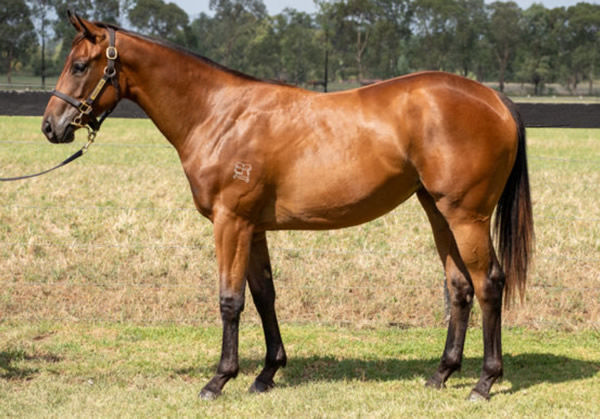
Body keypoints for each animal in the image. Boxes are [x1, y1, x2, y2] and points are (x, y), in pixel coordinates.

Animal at [42, 12, 532, 400]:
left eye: (79, 65)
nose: (51, 126)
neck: (220, 116)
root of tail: (494, 98)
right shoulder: (254, 227)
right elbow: (264, 296)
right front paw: (266, 373)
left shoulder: (230, 223)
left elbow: (230, 300)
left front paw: (219, 380)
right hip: (438, 212)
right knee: (459, 287)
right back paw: (441, 374)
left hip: (466, 216)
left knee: (488, 284)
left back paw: (484, 383)